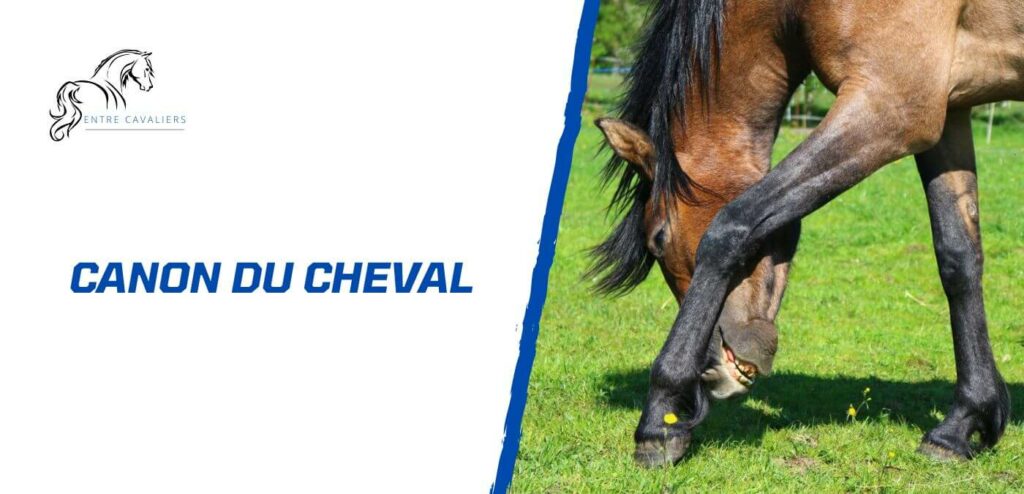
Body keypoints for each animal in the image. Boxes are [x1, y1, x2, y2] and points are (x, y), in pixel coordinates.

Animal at [589, 0, 1021, 467]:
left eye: (659, 239)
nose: (713, 370)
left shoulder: (892, 106)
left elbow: (730, 227)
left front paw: (660, 419)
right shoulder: (948, 111)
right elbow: (958, 259)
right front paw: (963, 423)